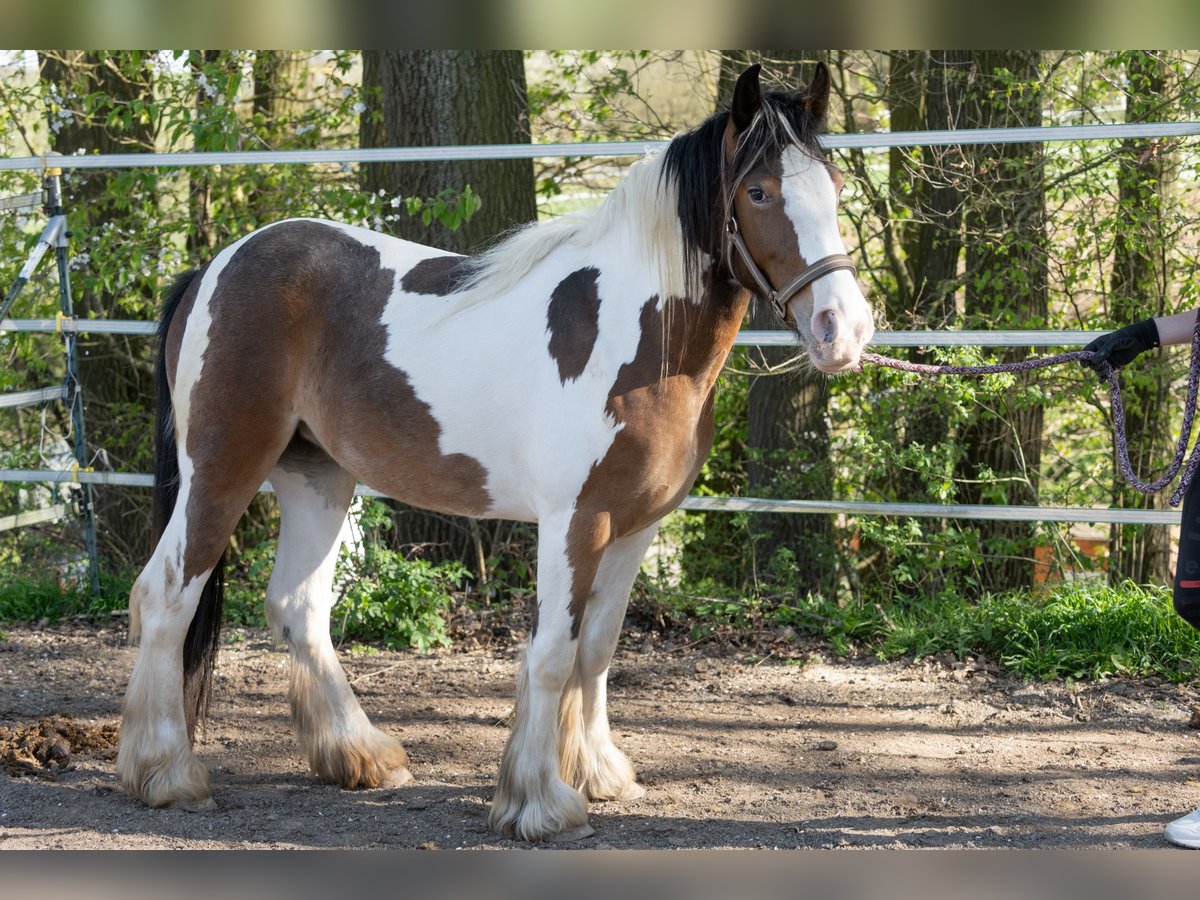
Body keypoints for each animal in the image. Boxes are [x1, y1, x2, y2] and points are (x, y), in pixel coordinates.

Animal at [114, 65, 873, 844]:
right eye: (760, 192)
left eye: (835, 185)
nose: (842, 329)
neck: (636, 343)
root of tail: (215, 268)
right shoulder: (575, 523)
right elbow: (552, 653)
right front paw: (540, 802)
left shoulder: (637, 527)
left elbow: (597, 648)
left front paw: (597, 772)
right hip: (223, 468)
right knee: (167, 595)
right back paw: (167, 773)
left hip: (316, 477)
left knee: (298, 607)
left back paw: (359, 754)